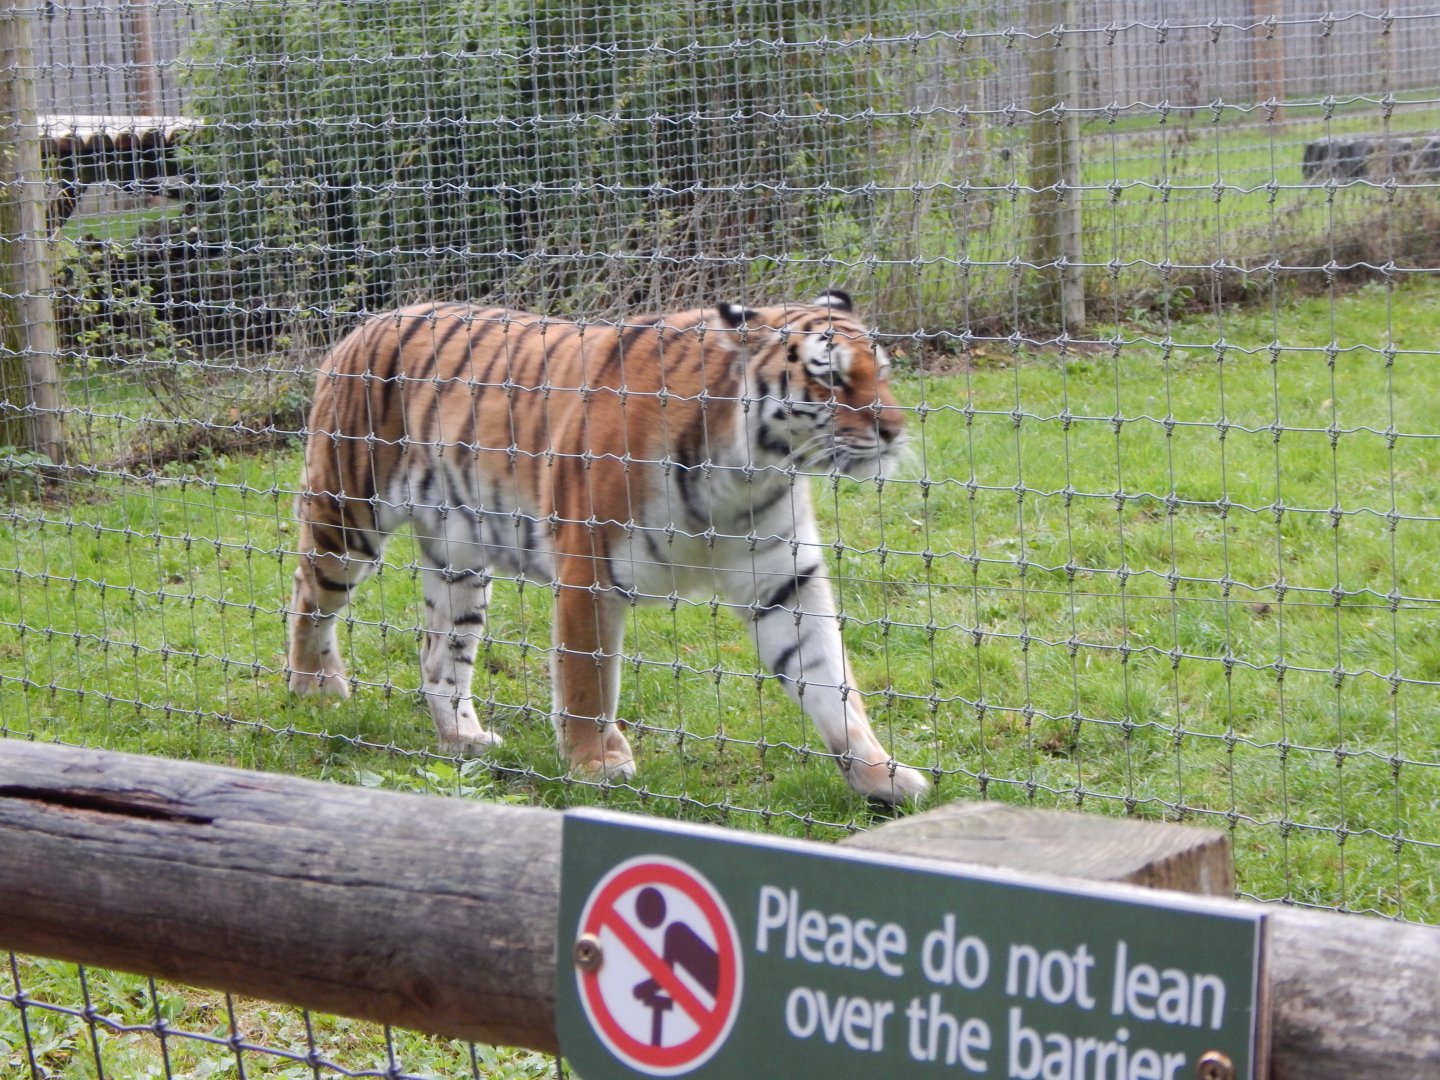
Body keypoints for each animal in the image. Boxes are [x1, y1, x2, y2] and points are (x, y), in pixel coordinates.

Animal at [285, 290, 932, 805]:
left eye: (882, 372)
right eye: (830, 377)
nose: (895, 431)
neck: (751, 471)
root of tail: (365, 325)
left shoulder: (783, 581)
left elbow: (829, 680)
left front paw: (881, 775)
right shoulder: (587, 571)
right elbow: (587, 679)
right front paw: (597, 764)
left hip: (459, 561)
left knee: (438, 654)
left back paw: (464, 739)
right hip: (348, 516)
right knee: (308, 596)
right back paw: (315, 689)